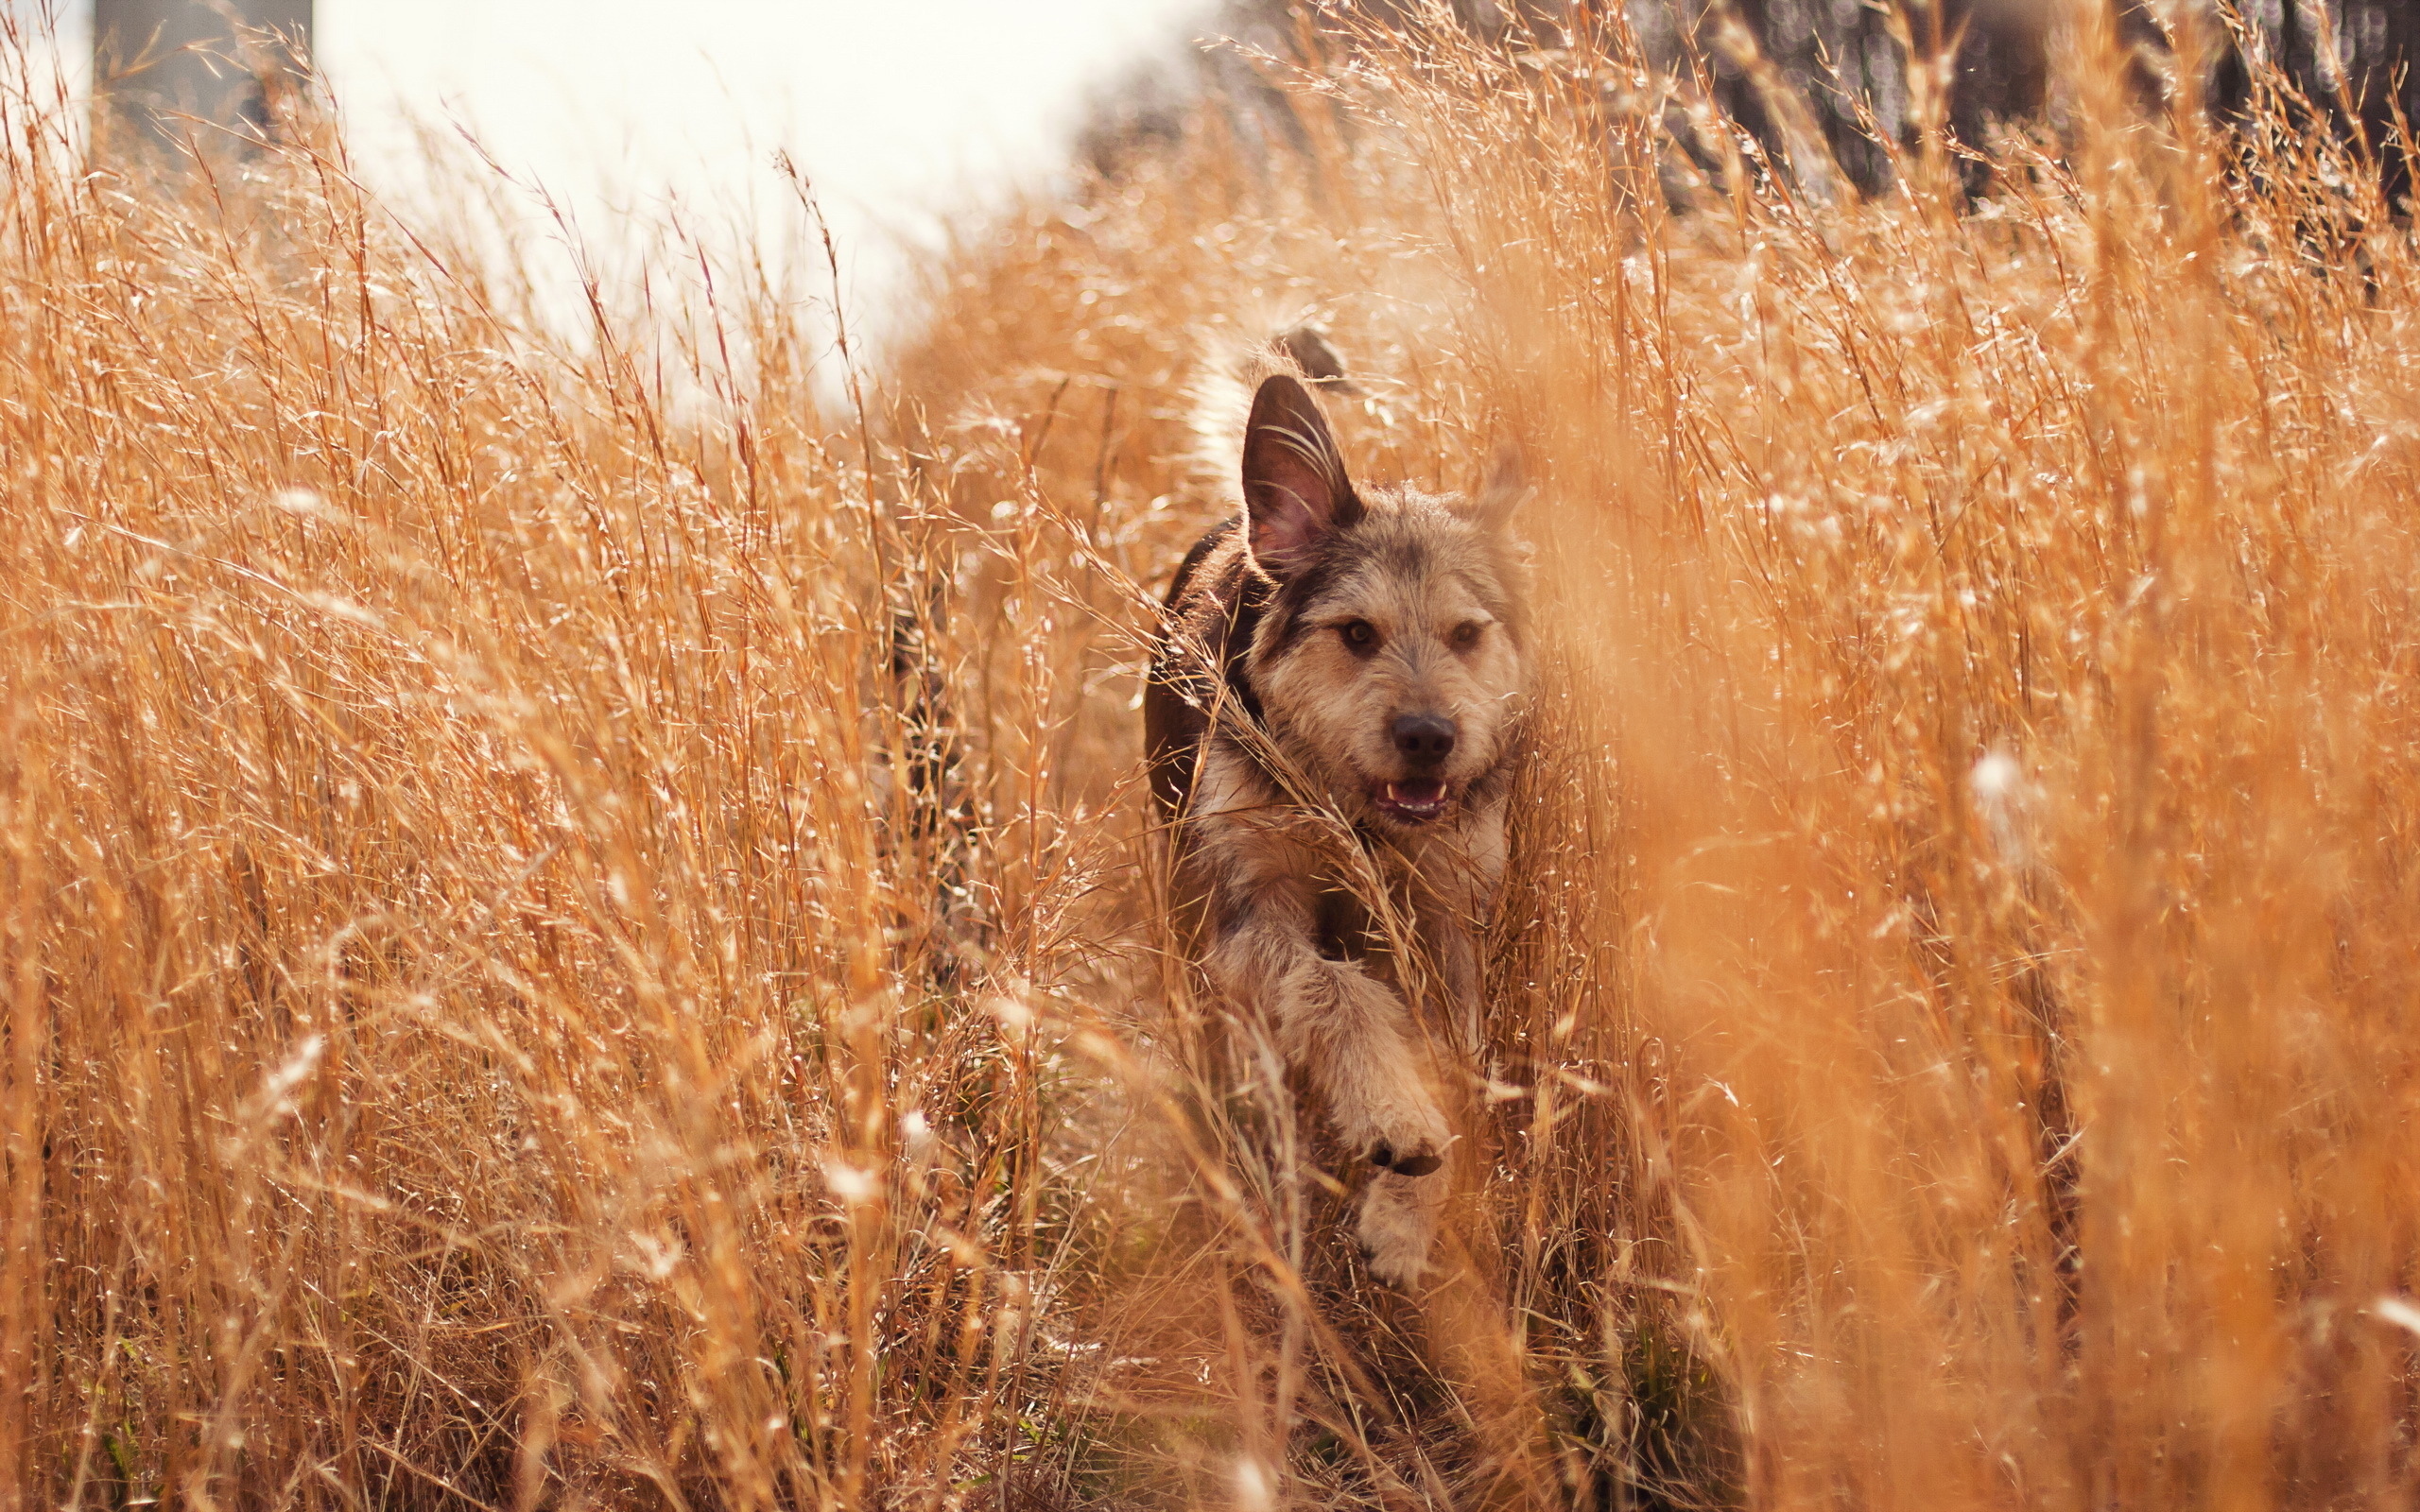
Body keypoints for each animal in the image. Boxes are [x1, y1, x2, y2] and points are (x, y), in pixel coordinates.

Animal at [1147, 346, 1529, 1286]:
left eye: (1467, 634)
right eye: (1356, 633)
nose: (1429, 737)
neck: (1355, 816)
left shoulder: (1446, 921)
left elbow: (1453, 1059)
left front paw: (1402, 1219)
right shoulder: (1251, 907)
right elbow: (1333, 990)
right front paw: (1396, 1117)